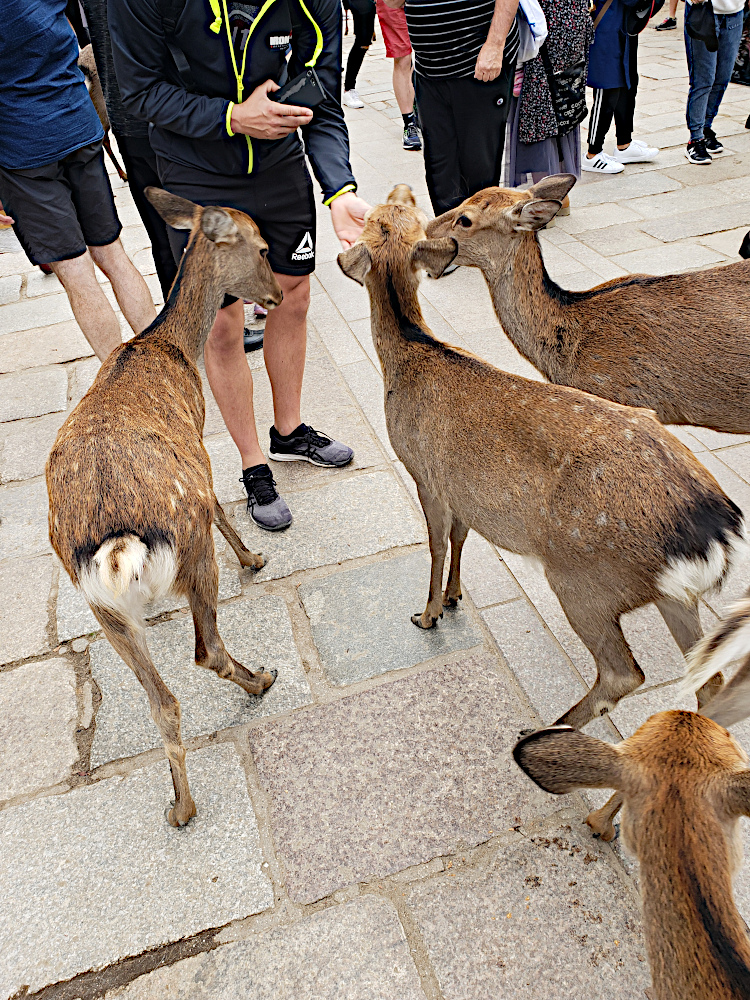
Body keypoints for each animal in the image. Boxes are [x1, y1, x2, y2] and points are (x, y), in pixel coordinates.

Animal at [46, 189, 282, 827]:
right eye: (263, 247)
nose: (277, 294)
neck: (171, 347)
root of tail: (116, 547)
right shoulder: (197, 443)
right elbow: (222, 504)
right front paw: (254, 558)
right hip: (191, 547)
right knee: (207, 651)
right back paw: (262, 678)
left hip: (101, 607)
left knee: (162, 700)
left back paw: (179, 805)